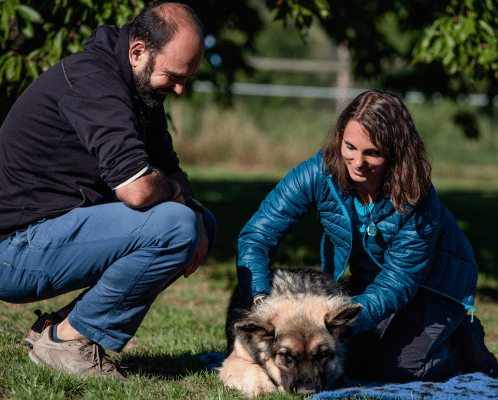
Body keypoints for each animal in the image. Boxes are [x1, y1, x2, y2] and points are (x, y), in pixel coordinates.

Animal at [218, 268, 362, 396]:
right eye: (287, 356)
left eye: (322, 354)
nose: (306, 393)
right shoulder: (236, 358)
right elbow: (254, 369)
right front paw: (264, 389)